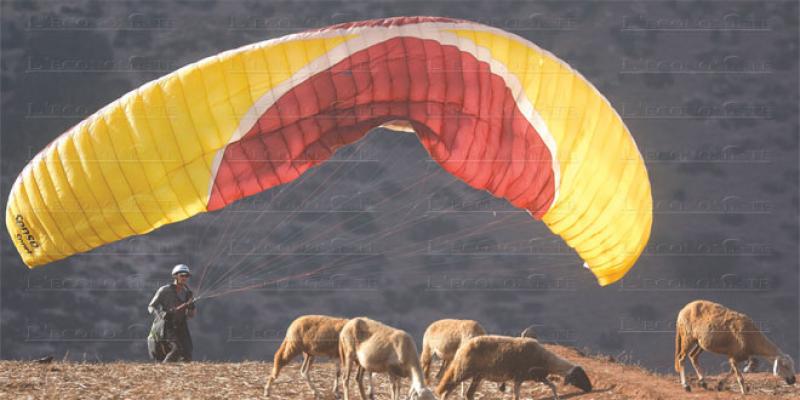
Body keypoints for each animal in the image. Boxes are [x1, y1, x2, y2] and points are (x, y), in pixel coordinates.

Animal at [434, 334, 592, 400]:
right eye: (580, 377)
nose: (590, 389)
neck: (546, 359)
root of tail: (463, 347)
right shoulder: (519, 377)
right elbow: (516, 395)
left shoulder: (538, 376)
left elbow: (552, 385)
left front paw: (556, 397)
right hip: (462, 371)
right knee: (447, 390)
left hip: (478, 376)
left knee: (469, 394)